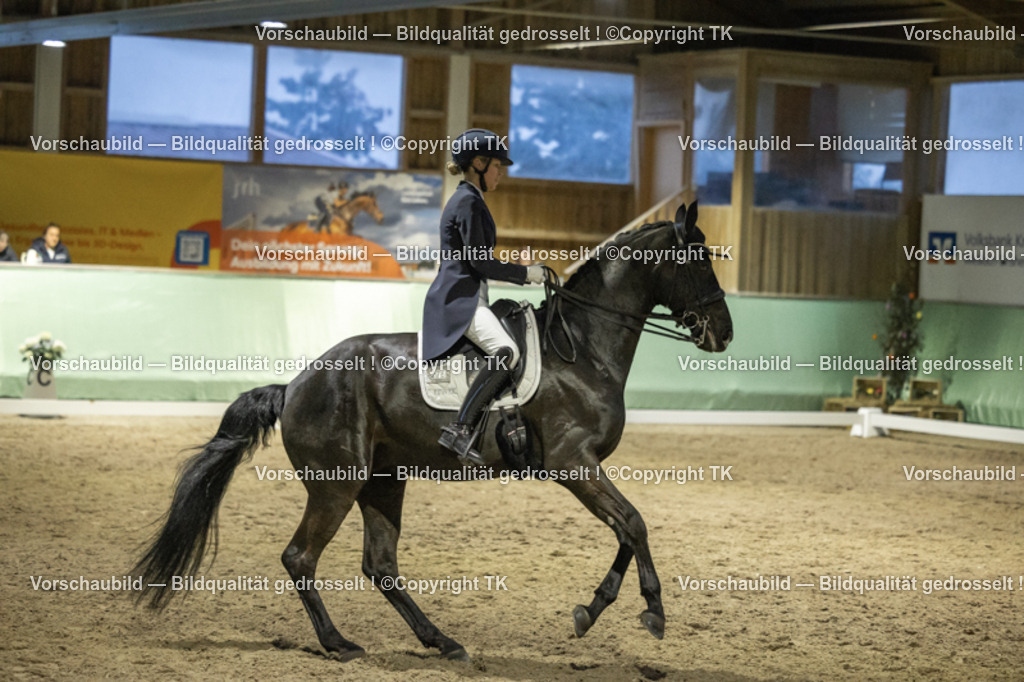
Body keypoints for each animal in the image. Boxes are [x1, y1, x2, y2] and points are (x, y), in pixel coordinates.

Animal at [133, 201, 733, 662]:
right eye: (698, 260)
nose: (724, 333)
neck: (582, 348)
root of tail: (297, 382)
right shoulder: (573, 464)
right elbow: (634, 523)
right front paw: (652, 611)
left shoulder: (585, 469)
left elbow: (627, 530)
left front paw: (591, 609)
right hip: (337, 483)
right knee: (301, 557)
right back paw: (339, 643)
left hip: (383, 480)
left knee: (379, 565)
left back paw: (441, 641)